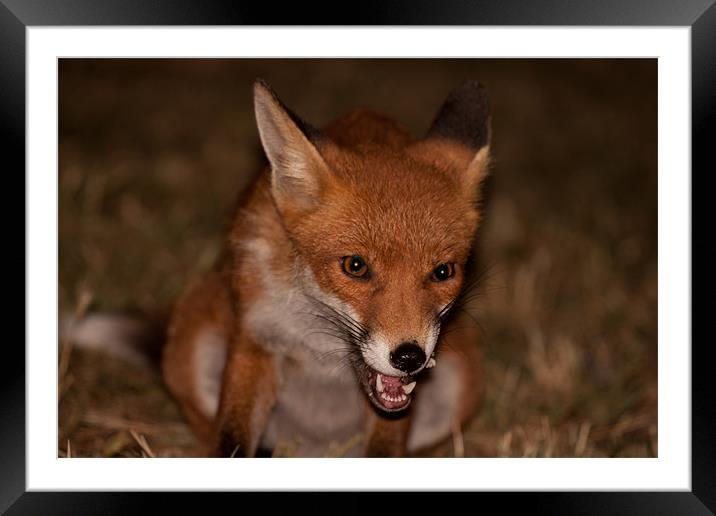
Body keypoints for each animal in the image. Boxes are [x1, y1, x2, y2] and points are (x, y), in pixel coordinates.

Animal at [67, 78, 492, 458]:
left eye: (443, 272)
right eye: (355, 266)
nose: (409, 358)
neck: (322, 348)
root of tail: (315, 450)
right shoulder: (256, 341)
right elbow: (231, 442)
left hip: (458, 380)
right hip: (193, 345)